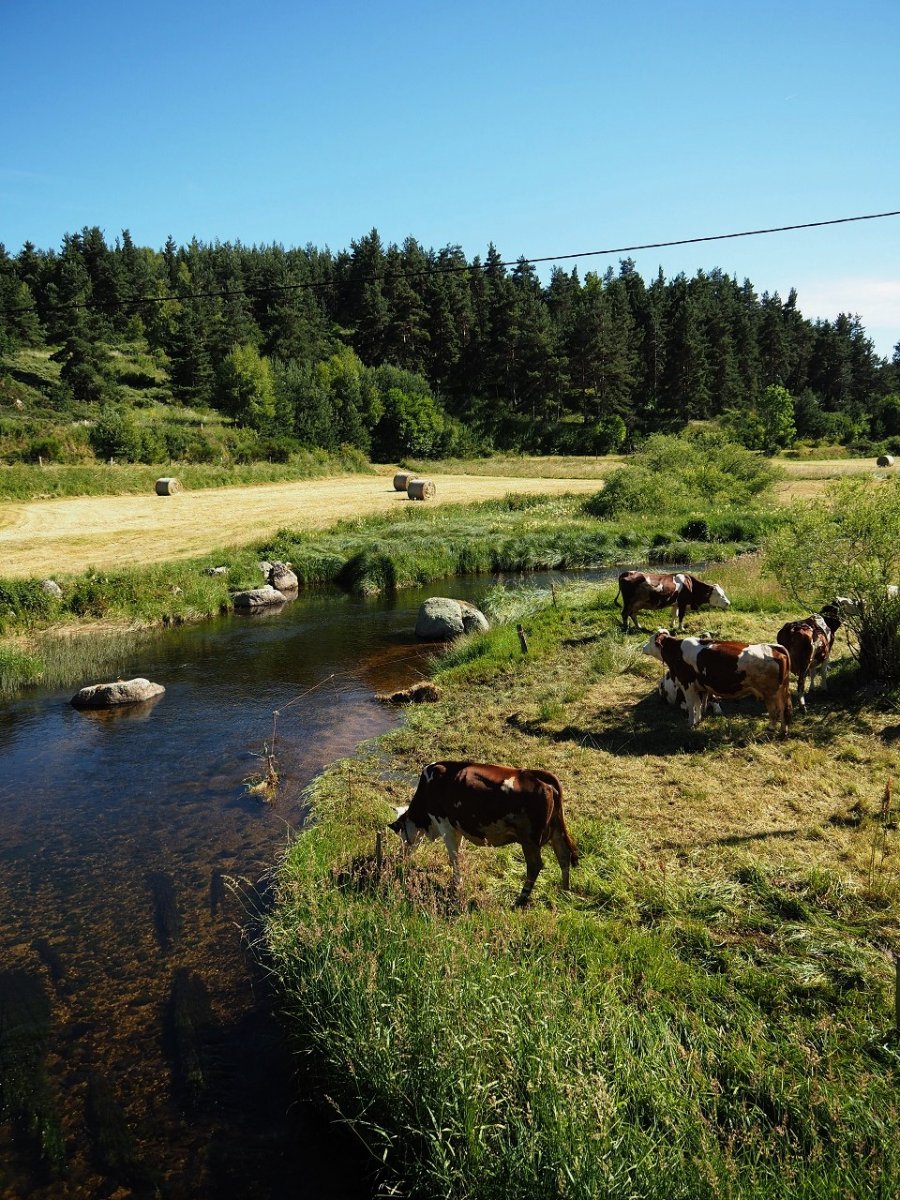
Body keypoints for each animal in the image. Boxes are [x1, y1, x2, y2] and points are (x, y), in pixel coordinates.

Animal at [388, 763, 578, 902]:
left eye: (400, 835)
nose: (401, 857)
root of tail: (538, 777)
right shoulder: (457, 826)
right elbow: (458, 853)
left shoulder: (444, 824)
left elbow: (453, 856)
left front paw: (456, 884)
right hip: (556, 831)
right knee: (563, 856)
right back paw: (565, 892)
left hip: (529, 840)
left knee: (535, 865)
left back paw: (521, 899)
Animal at [643, 633, 792, 734]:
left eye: (650, 640)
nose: (643, 647)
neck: (677, 651)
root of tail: (774, 648)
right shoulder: (698, 687)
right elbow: (698, 704)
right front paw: (698, 720)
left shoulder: (687, 685)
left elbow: (691, 705)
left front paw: (691, 722)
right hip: (779, 691)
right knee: (781, 710)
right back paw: (779, 729)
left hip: (771, 693)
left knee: (777, 710)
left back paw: (775, 729)